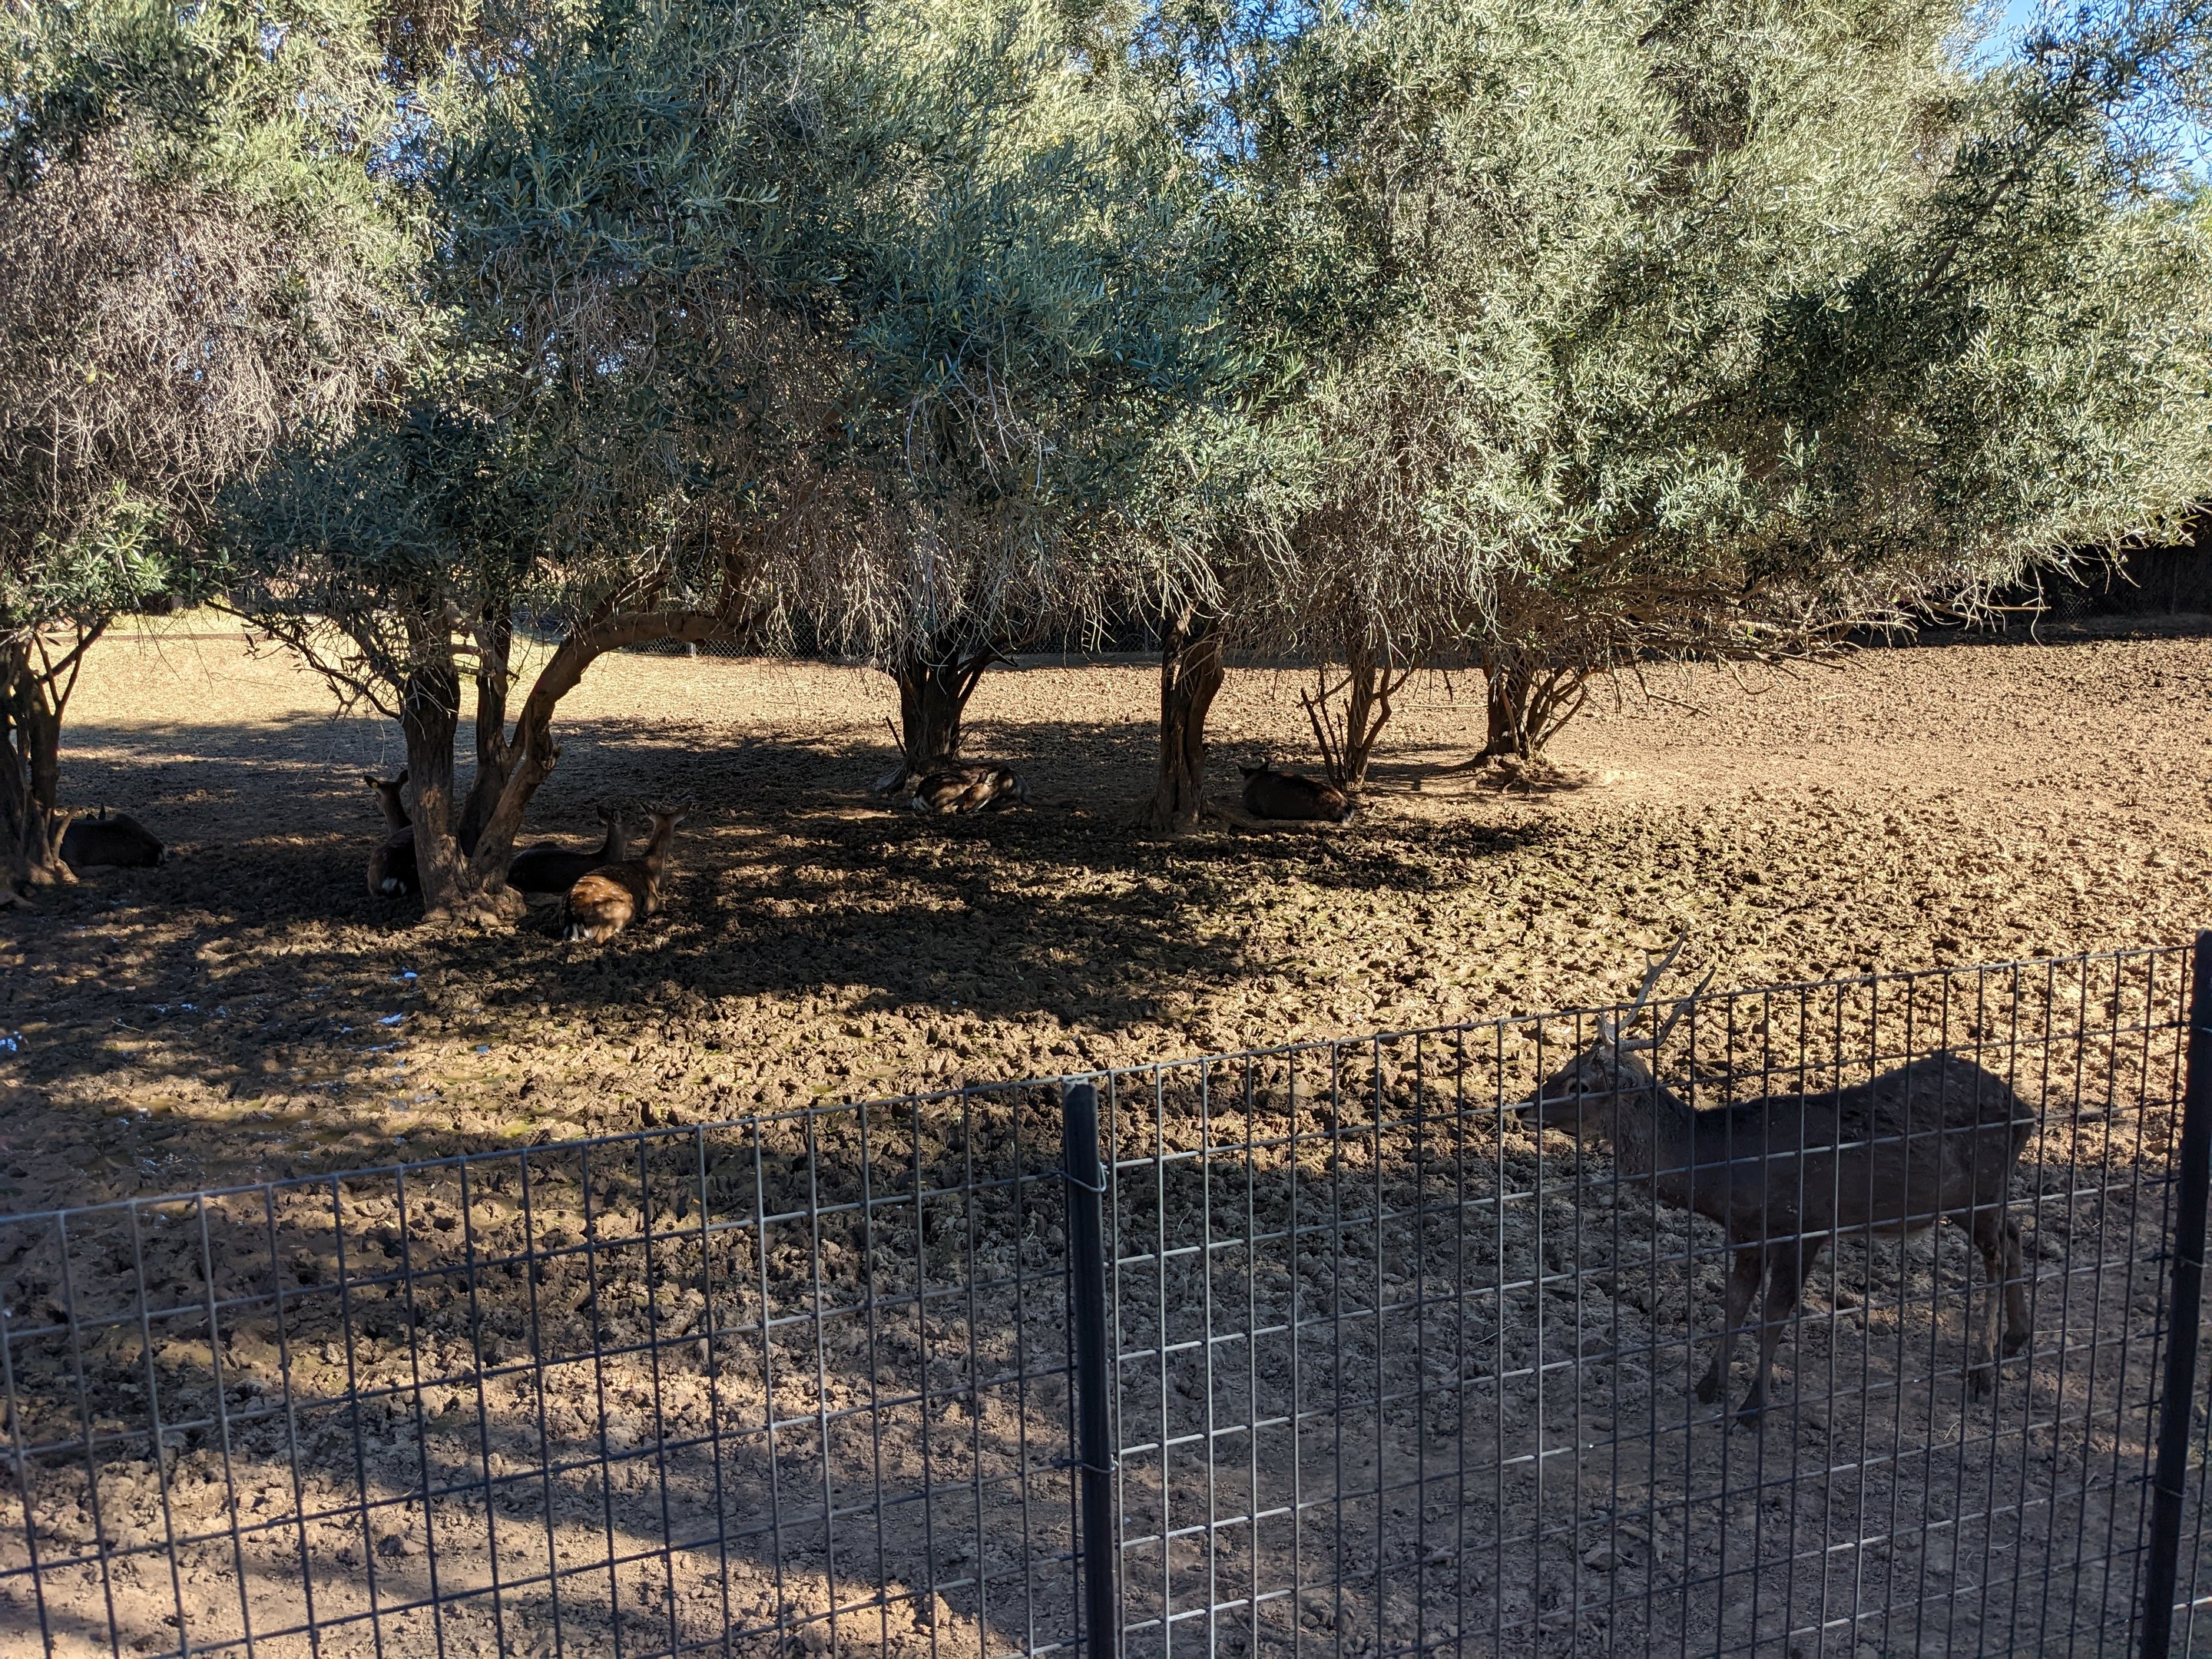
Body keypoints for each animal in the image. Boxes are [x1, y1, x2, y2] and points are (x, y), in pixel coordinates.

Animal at [563, 807, 687, 941]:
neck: (653, 870)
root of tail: (573, 916)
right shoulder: (652, 900)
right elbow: (662, 904)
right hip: (622, 906)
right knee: (601, 937)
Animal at [1518, 936, 2034, 1425]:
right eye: (1564, 1067)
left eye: (1580, 1086)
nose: (1523, 1107)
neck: (1723, 1171)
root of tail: (2026, 1111)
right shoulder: (1747, 1232)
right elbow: (1734, 1304)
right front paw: (1708, 1386)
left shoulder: (1803, 1224)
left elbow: (1774, 1313)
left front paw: (1752, 1408)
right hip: (1971, 1196)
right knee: (2013, 1234)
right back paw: (2016, 1337)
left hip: (1980, 1188)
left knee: (1995, 1254)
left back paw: (1983, 1371)